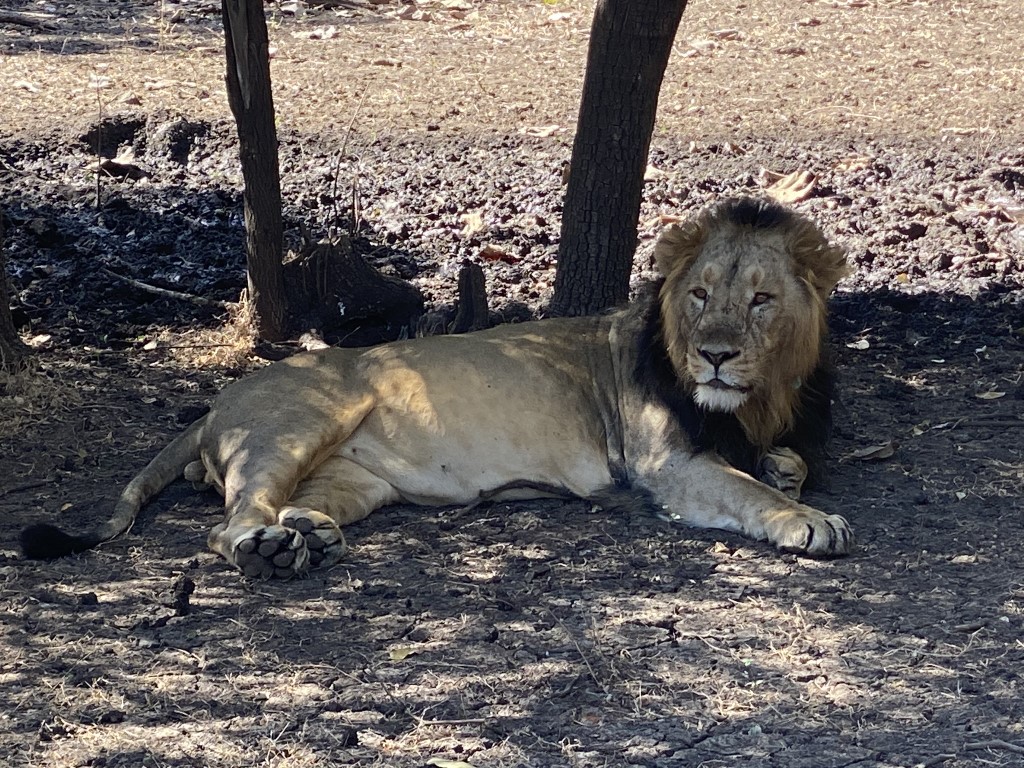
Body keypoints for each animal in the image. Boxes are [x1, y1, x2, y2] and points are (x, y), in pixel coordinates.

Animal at [21, 197, 853, 578]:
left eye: (761, 299)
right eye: (700, 295)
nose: (714, 356)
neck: (757, 397)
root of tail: (216, 403)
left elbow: (783, 464)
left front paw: (786, 473)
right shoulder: (664, 463)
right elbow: (746, 489)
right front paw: (807, 519)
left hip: (356, 479)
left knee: (289, 502)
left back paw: (307, 534)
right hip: (299, 421)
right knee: (228, 522)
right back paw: (269, 549)